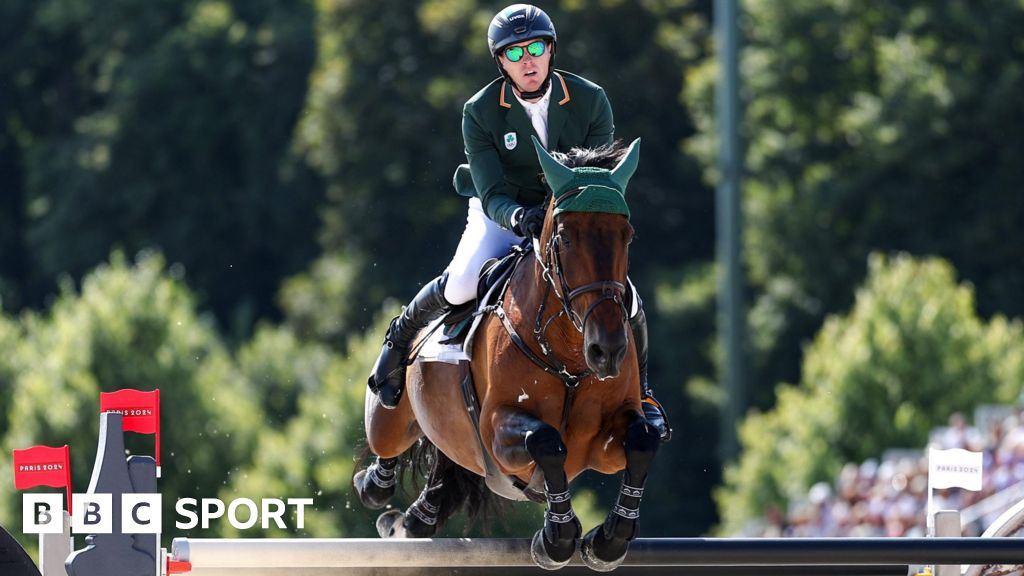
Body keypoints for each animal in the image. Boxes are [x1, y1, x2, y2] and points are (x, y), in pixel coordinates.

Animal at [352, 135, 659, 569]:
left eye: (627, 235)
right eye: (564, 238)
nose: (607, 351)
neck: (568, 356)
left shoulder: (604, 443)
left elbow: (643, 440)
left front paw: (607, 542)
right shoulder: (498, 430)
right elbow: (545, 442)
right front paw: (557, 539)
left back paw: (415, 519)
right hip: (391, 422)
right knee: (389, 440)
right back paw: (376, 475)